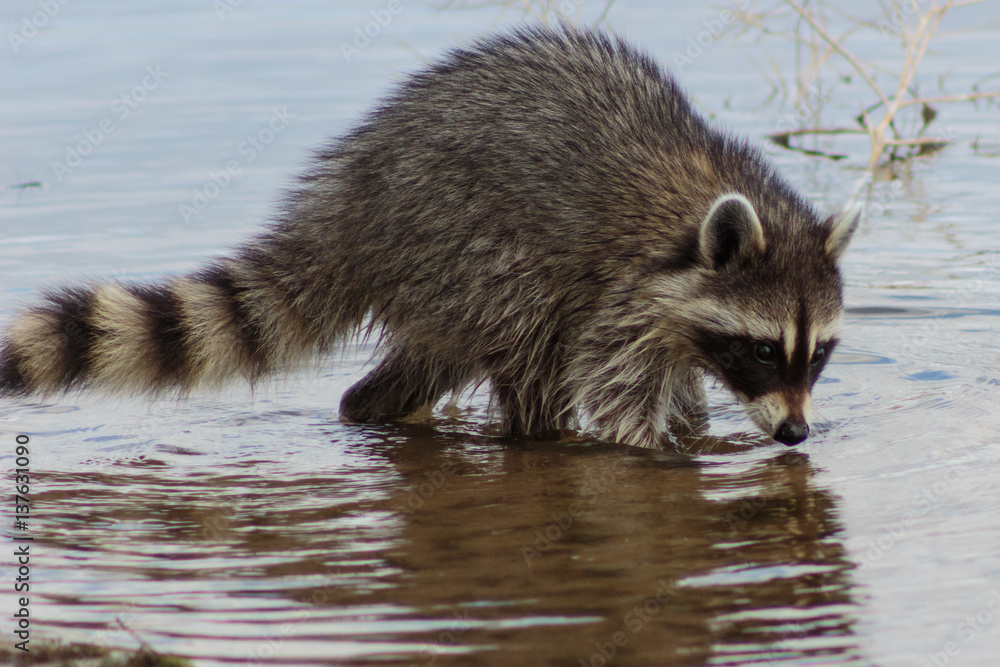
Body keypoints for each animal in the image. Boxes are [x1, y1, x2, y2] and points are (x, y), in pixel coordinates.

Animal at [0, 25, 859, 448]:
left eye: (818, 354)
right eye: (760, 349)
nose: (794, 434)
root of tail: (354, 198)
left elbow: (674, 380)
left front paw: (696, 422)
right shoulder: (625, 289)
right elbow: (612, 382)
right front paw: (661, 446)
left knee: (429, 363)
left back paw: (380, 407)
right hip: (469, 247)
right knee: (532, 346)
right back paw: (536, 435)